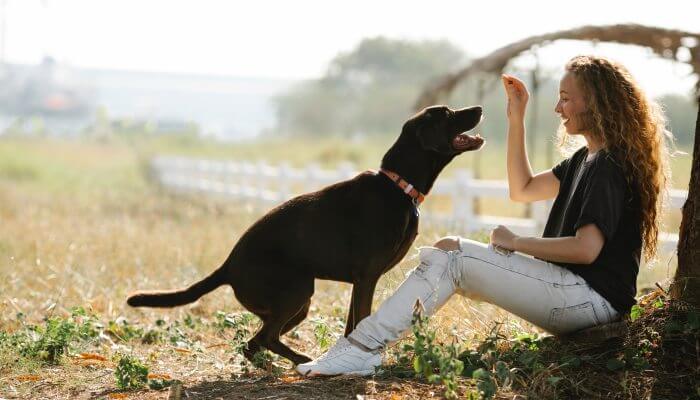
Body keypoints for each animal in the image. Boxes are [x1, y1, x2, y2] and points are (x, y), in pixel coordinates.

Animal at [127, 104, 482, 364]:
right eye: (448, 113)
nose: (479, 108)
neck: (398, 185)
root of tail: (227, 266)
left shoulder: (359, 282)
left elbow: (352, 325)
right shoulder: (366, 277)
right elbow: (361, 320)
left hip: (297, 305)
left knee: (254, 343)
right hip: (296, 292)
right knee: (265, 338)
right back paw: (300, 361)